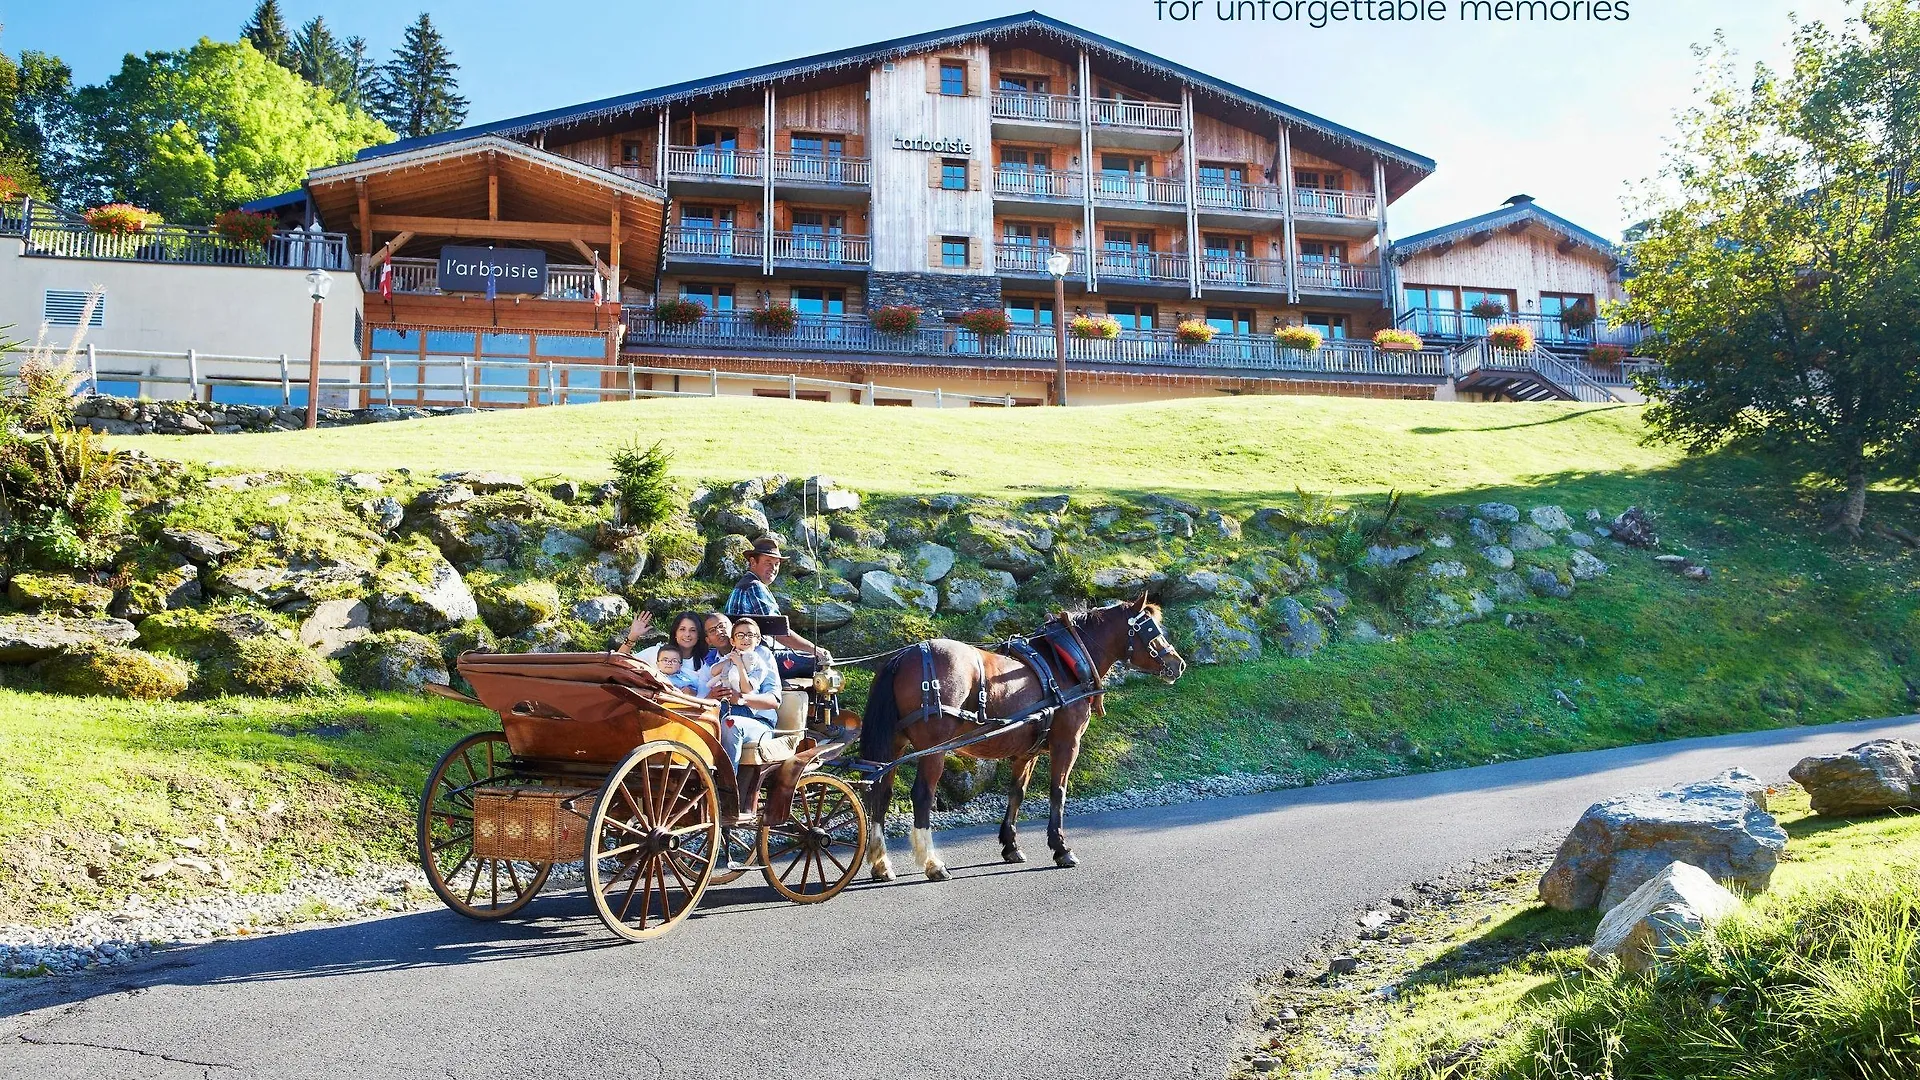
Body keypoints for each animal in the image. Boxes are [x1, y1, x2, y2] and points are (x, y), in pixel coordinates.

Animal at [860, 591, 1182, 880]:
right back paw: (932, 863)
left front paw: (1011, 845)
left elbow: (1017, 792)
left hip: (895, 745)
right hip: (934, 749)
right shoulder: (1068, 743)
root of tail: (906, 655)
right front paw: (1061, 848)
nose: (1178, 663)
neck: (1065, 663)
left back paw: (881, 863)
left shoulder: (1028, 752)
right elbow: (1058, 791)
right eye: (1151, 630)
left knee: (881, 793)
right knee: (922, 795)